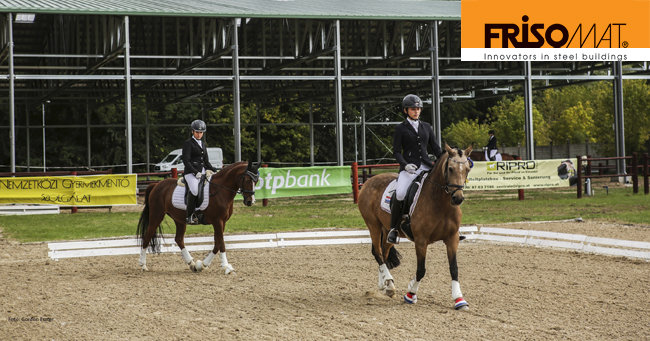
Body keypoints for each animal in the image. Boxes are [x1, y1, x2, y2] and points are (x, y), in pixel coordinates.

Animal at [356, 143, 474, 308]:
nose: (457, 198)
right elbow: (421, 269)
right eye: (450, 168)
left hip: (388, 230)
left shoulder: (452, 238)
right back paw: (389, 283)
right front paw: (410, 294)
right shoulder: (421, 240)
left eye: (468, 169)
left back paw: (386, 286)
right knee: (378, 253)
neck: (441, 203)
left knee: (384, 252)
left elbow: (454, 269)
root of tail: (369, 181)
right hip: (373, 224)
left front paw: (459, 299)